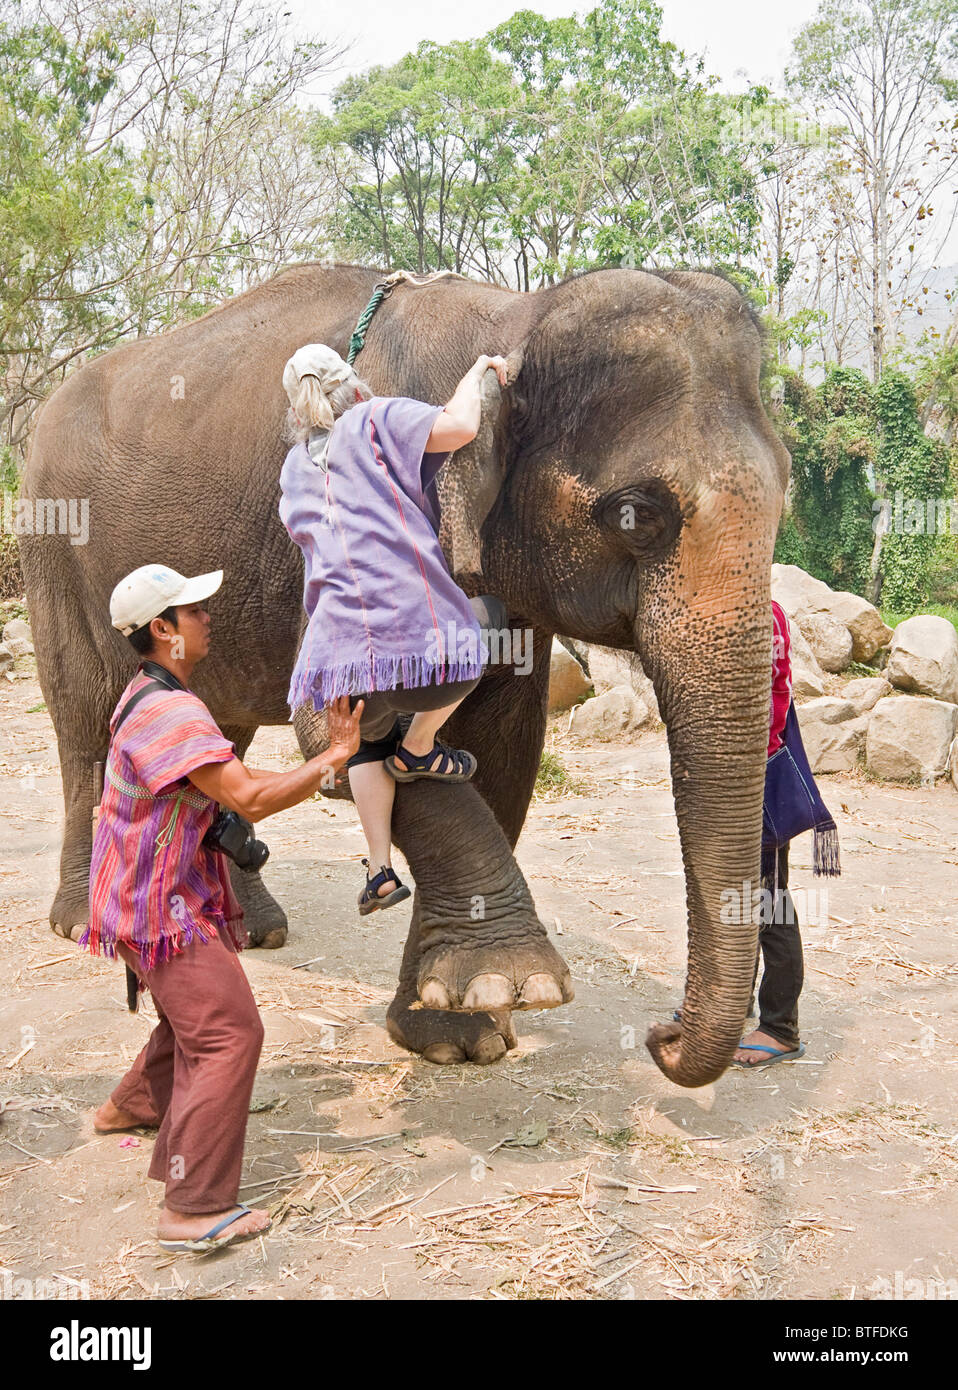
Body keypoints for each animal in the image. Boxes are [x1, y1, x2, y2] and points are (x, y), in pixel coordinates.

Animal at [20, 261, 784, 1084]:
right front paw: (515, 981)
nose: (660, 1034)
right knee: (88, 724)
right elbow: (353, 724)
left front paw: (459, 1029)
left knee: (223, 733)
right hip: (53, 548)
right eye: (633, 513)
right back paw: (81, 923)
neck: (517, 312)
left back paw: (253, 932)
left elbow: (504, 754)